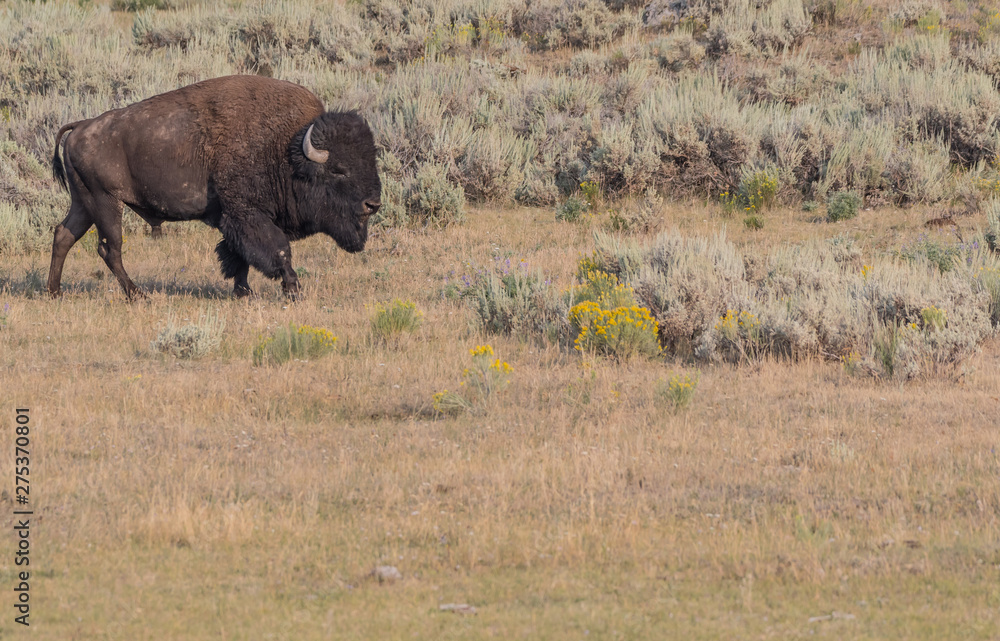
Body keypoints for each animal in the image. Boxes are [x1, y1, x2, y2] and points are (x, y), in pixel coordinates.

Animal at [47, 75, 381, 299]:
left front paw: (243, 292)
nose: (373, 204)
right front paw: (293, 290)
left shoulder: (234, 219)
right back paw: (137, 295)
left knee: (64, 235)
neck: (285, 148)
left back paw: (55, 291)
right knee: (109, 248)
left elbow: (239, 256)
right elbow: (277, 249)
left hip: (84, 202)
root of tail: (81, 126)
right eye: (338, 170)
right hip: (104, 201)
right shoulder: (247, 214)